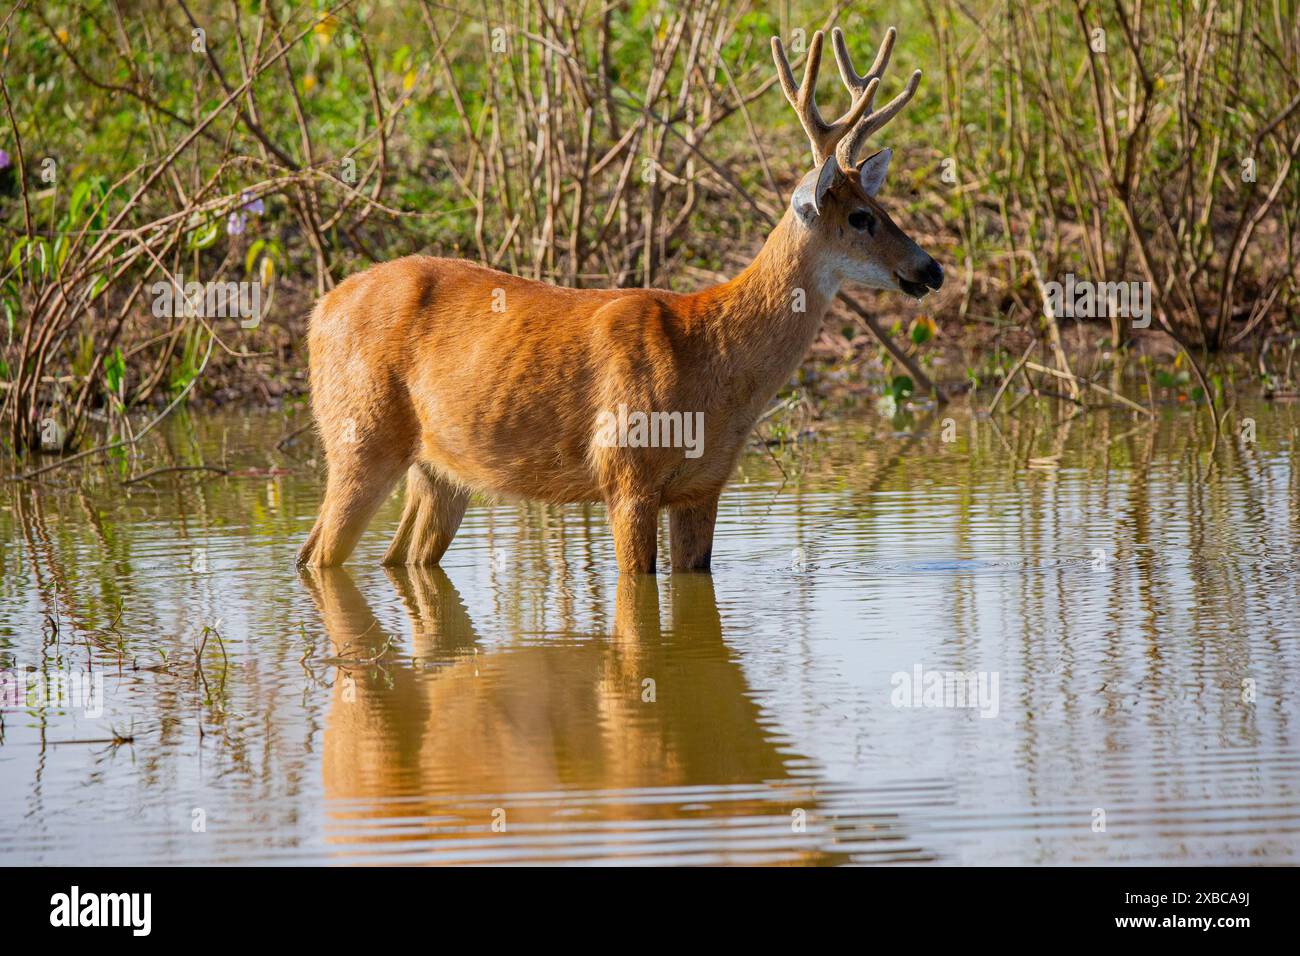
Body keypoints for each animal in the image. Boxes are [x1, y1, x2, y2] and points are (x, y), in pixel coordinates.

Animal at [297, 25, 943, 574]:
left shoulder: (703, 486)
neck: (710, 354)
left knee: (393, 557)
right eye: (860, 218)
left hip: (440, 471)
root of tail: (320, 309)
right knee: (318, 552)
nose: (930, 268)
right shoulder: (627, 473)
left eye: (883, 207)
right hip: (359, 435)